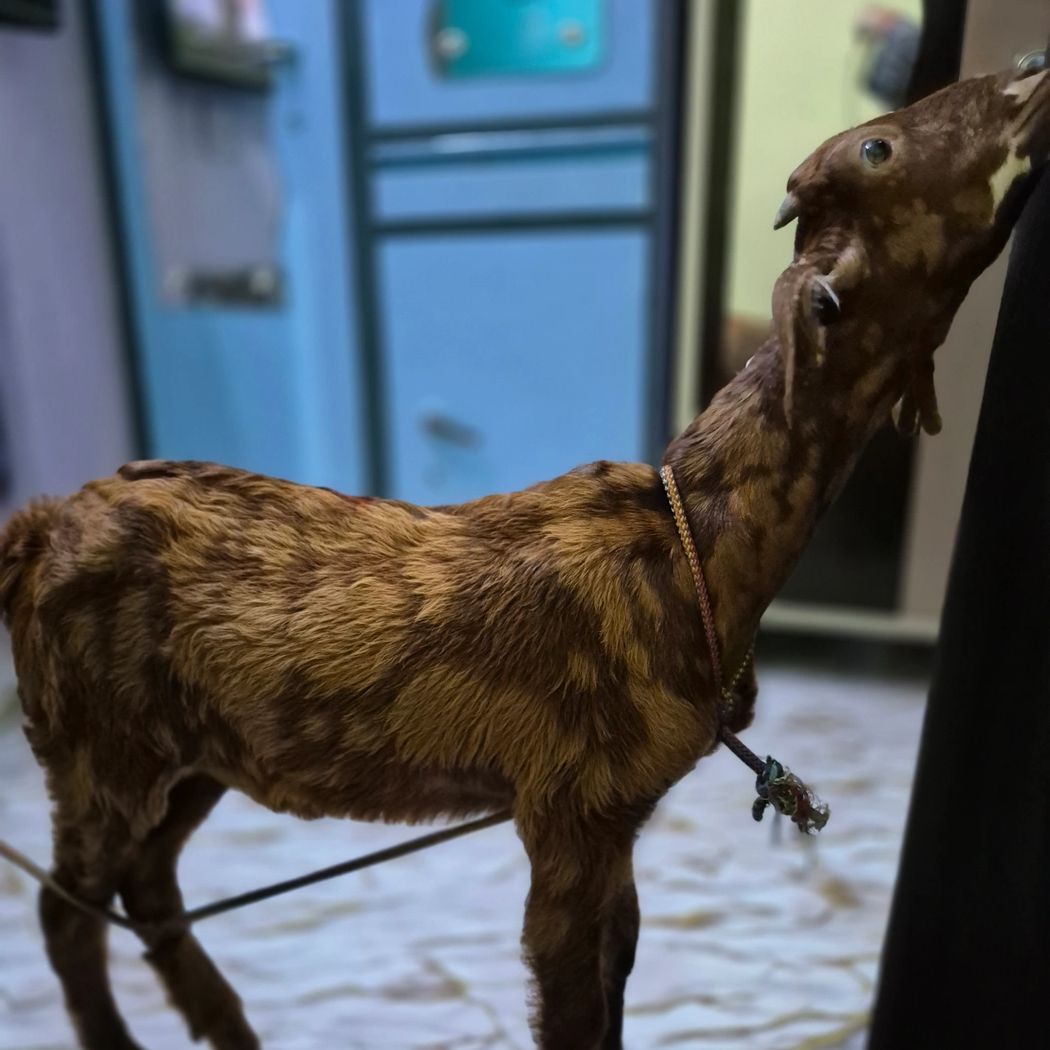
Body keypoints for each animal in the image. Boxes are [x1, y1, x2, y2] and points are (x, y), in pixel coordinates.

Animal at [2, 68, 1048, 1050]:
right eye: (877, 147)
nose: (1027, 76)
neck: (693, 551)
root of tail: (41, 525)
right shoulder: (572, 811)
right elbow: (577, 1002)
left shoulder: (616, 823)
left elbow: (620, 972)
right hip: (97, 751)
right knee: (67, 907)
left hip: (190, 757)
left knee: (145, 887)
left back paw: (226, 1024)